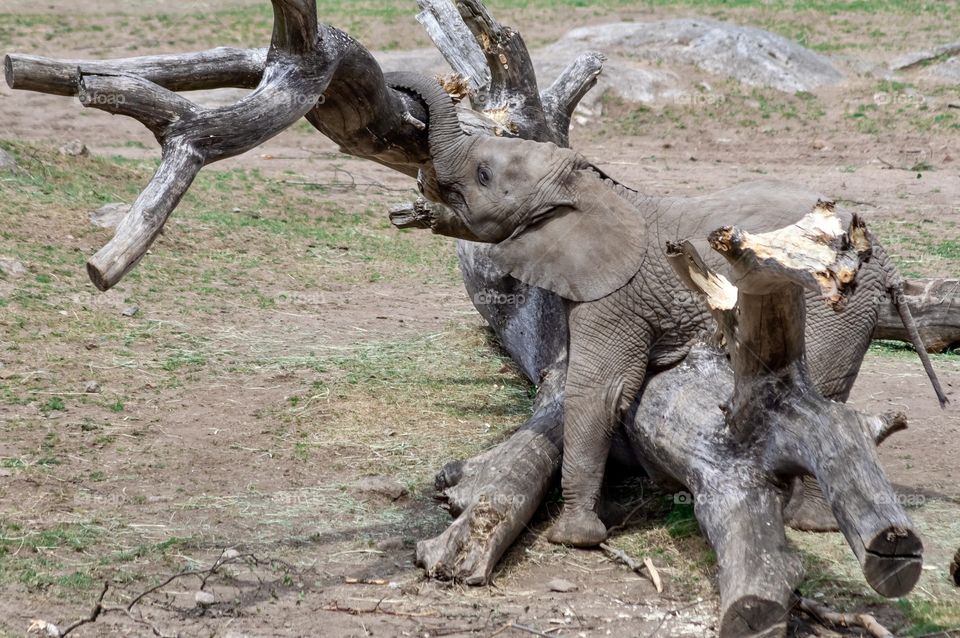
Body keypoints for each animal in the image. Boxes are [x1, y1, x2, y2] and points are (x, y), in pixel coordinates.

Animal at [385, 72, 948, 547]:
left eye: (483, 175)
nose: (402, 86)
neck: (589, 189)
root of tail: (884, 257)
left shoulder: (614, 295)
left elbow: (598, 388)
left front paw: (574, 537)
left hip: (836, 303)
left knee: (823, 391)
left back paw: (805, 522)